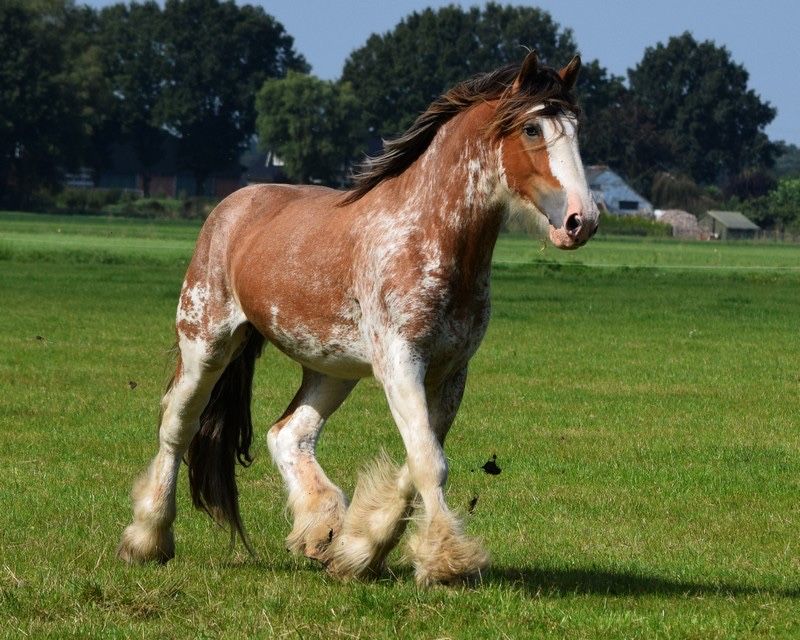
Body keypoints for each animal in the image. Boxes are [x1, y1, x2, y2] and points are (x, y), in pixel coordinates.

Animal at [117, 52, 592, 588]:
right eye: (532, 128)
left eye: (577, 128)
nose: (582, 220)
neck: (429, 235)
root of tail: (232, 207)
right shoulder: (400, 362)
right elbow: (428, 462)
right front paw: (447, 560)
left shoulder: (449, 373)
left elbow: (418, 460)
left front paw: (360, 549)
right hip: (206, 344)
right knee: (178, 425)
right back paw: (148, 539)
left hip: (330, 369)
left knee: (289, 434)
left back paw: (321, 531)